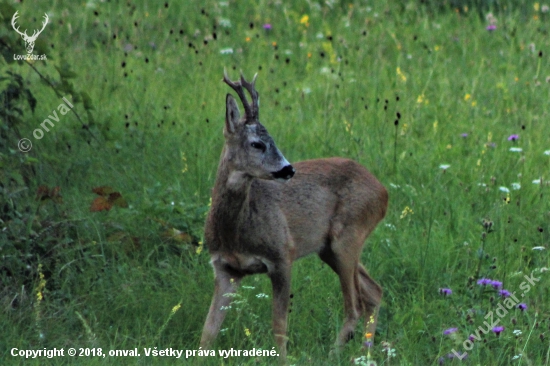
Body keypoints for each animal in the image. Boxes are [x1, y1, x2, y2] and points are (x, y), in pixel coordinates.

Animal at [201, 70, 390, 362]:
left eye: (273, 140)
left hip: (348, 237)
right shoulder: (225, 268)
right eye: (257, 144)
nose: (288, 169)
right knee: (374, 292)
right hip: (328, 248)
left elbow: (279, 326)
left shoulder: (282, 256)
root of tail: (384, 192)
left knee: (355, 305)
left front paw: (284, 360)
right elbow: (209, 330)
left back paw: (334, 355)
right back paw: (364, 354)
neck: (235, 232)